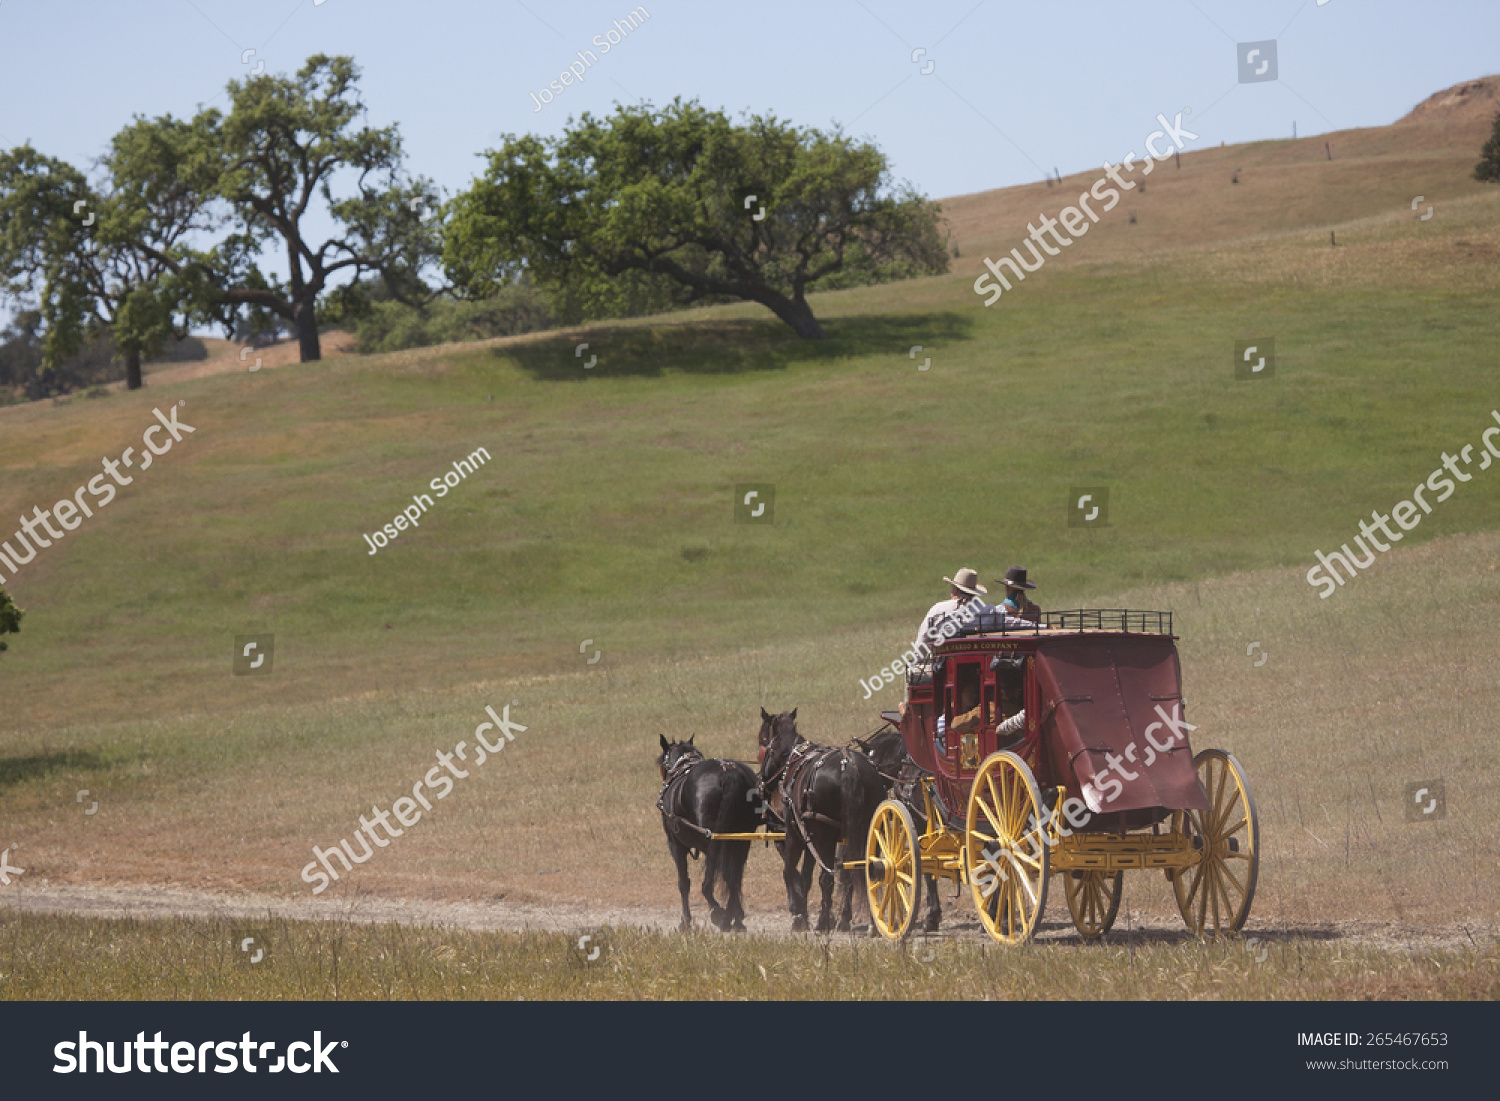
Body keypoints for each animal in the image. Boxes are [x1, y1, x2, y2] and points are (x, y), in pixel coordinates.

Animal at [657, 738, 762, 936]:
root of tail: (728, 772)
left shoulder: (675, 845)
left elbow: (684, 883)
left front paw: (686, 921)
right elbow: (730, 876)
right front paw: (737, 915)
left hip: (714, 838)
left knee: (711, 882)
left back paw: (719, 913)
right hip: (741, 839)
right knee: (734, 877)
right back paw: (733, 918)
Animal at [756, 711, 882, 936]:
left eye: (765, 744)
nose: (761, 784)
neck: (793, 760)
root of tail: (848, 765)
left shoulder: (795, 835)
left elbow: (790, 872)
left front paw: (799, 916)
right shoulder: (811, 839)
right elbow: (807, 877)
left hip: (824, 836)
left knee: (827, 877)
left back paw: (823, 922)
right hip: (867, 830)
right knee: (865, 871)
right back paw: (866, 923)